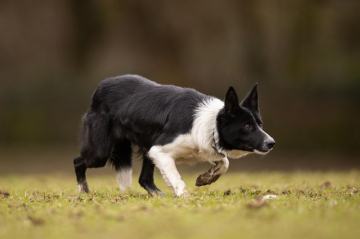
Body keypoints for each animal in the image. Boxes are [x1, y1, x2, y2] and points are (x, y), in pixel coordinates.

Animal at [73, 74, 276, 196]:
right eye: (247, 126)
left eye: (260, 124)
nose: (271, 143)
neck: (211, 124)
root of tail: (101, 86)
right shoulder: (160, 151)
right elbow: (178, 180)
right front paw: (186, 199)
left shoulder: (199, 148)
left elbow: (224, 163)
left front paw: (206, 178)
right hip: (101, 150)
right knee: (78, 161)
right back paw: (83, 191)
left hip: (146, 147)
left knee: (144, 179)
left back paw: (159, 196)